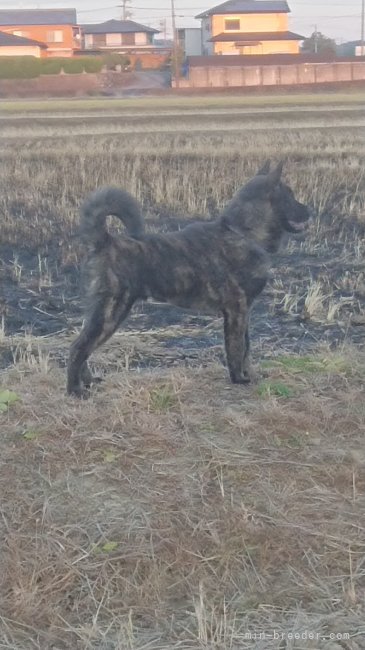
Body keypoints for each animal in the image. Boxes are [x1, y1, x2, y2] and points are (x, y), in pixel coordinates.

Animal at [67, 162, 308, 394]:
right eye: (290, 195)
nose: (310, 210)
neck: (242, 232)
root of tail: (104, 241)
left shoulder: (244, 311)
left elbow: (246, 348)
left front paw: (249, 375)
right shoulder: (237, 310)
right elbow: (236, 348)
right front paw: (239, 379)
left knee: (83, 346)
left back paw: (89, 382)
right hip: (111, 312)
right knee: (79, 347)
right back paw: (74, 390)